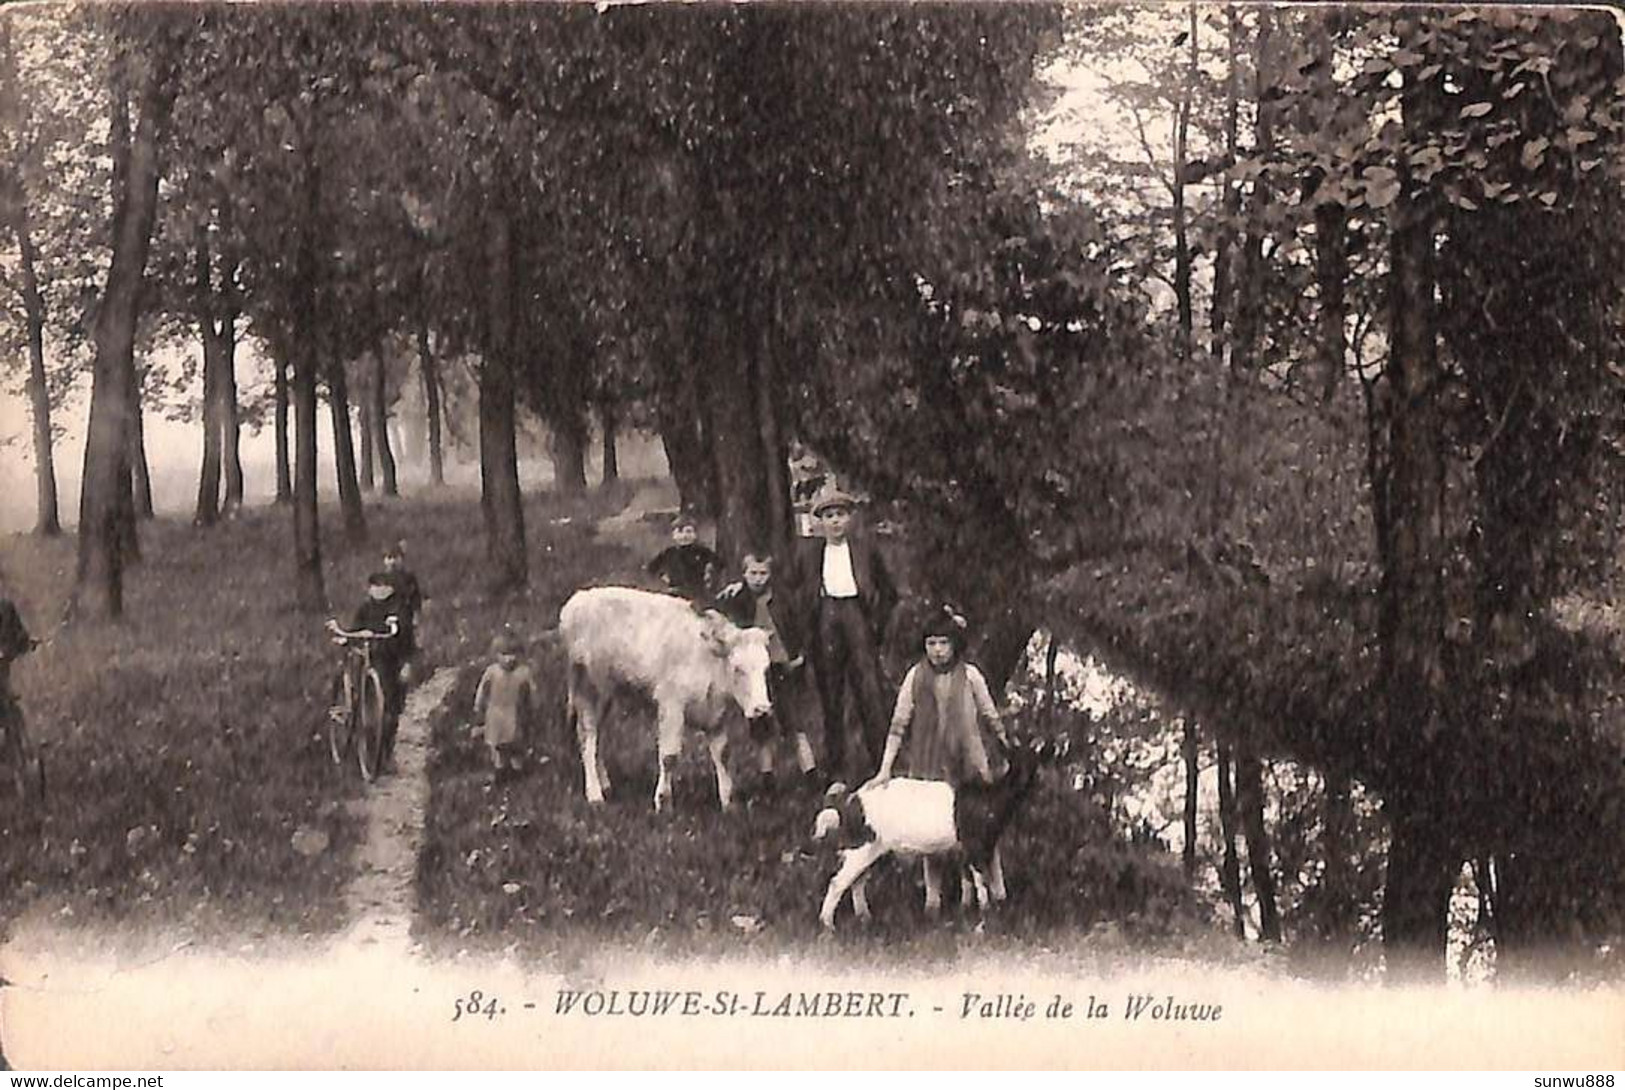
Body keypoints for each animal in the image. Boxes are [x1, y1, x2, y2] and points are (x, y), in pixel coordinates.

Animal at [559, 588, 773, 808]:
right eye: (738, 669)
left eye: (766, 668)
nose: (762, 709)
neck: (707, 659)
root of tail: (579, 598)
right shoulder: (671, 706)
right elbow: (669, 756)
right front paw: (663, 801)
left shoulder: (716, 715)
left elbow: (722, 754)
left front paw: (728, 801)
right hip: (588, 690)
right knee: (587, 736)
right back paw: (595, 794)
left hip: (606, 696)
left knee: (596, 736)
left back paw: (605, 784)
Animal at [809, 734, 1053, 929]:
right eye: (1015, 760)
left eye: (1034, 759)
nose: (1027, 779)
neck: (990, 798)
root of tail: (851, 801)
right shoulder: (973, 843)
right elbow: (980, 878)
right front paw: (985, 910)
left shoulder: (976, 846)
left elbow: (975, 877)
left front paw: (970, 909)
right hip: (863, 846)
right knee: (839, 881)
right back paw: (827, 924)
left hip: (872, 848)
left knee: (857, 881)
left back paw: (864, 918)